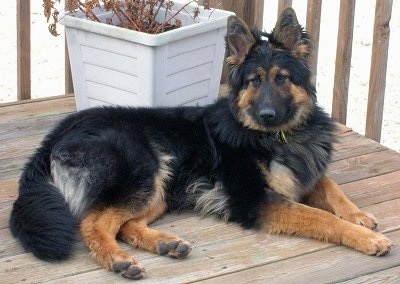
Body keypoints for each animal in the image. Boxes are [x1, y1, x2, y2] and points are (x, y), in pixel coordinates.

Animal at [9, 8, 390, 280]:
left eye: (282, 79)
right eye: (255, 81)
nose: (266, 113)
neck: (279, 136)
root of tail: (58, 132)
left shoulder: (304, 174)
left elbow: (331, 186)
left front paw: (360, 216)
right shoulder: (258, 199)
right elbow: (321, 217)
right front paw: (367, 238)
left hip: (161, 186)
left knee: (124, 223)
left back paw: (165, 243)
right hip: (144, 170)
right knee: (93, 222)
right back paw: (119, 260)